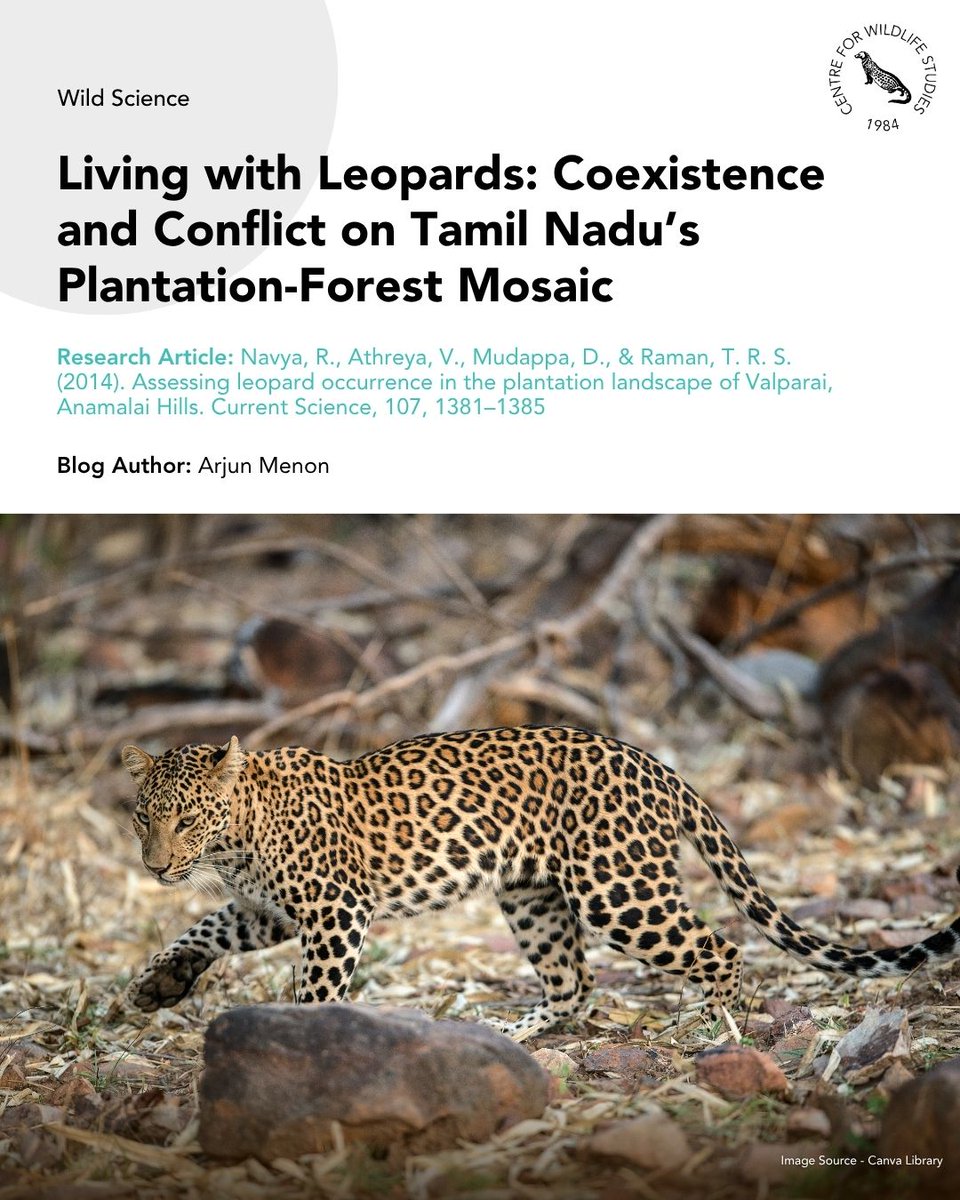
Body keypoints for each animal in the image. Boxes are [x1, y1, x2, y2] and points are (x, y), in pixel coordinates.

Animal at [120, 726, 960, 1036]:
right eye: (142, 817)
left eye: (187, 819)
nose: (156, 866)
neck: (237, 837)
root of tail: (657, 766)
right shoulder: (272, 912)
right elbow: (204, 928)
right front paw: (157, 984)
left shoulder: (333, 911)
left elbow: (314, 989)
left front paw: (303, 1044)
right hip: (532, 897)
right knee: (573, 985)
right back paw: (506, 1034)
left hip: (620, 889)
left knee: (719, 948)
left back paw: (714, 1024)